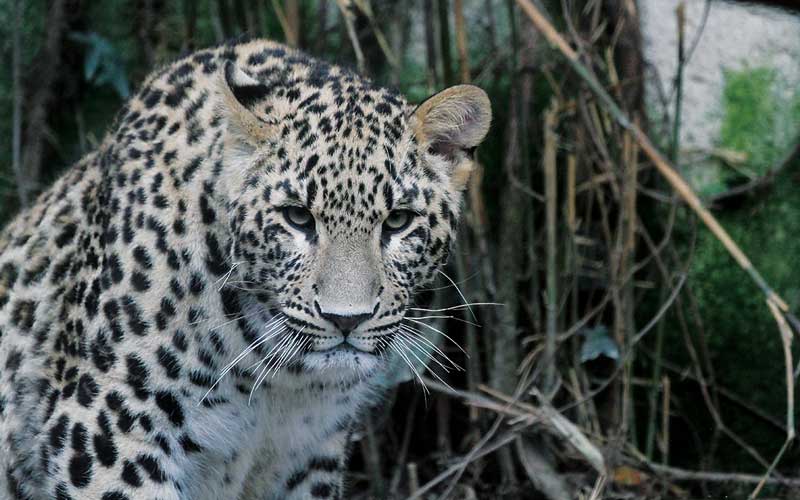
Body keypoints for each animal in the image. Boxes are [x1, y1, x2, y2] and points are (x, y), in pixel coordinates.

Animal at [0, 37, 488, 498]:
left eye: (398, 221)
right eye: (297, 217)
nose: (346, 320)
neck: (278, 377)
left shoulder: (311, 454)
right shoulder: (107, 425)